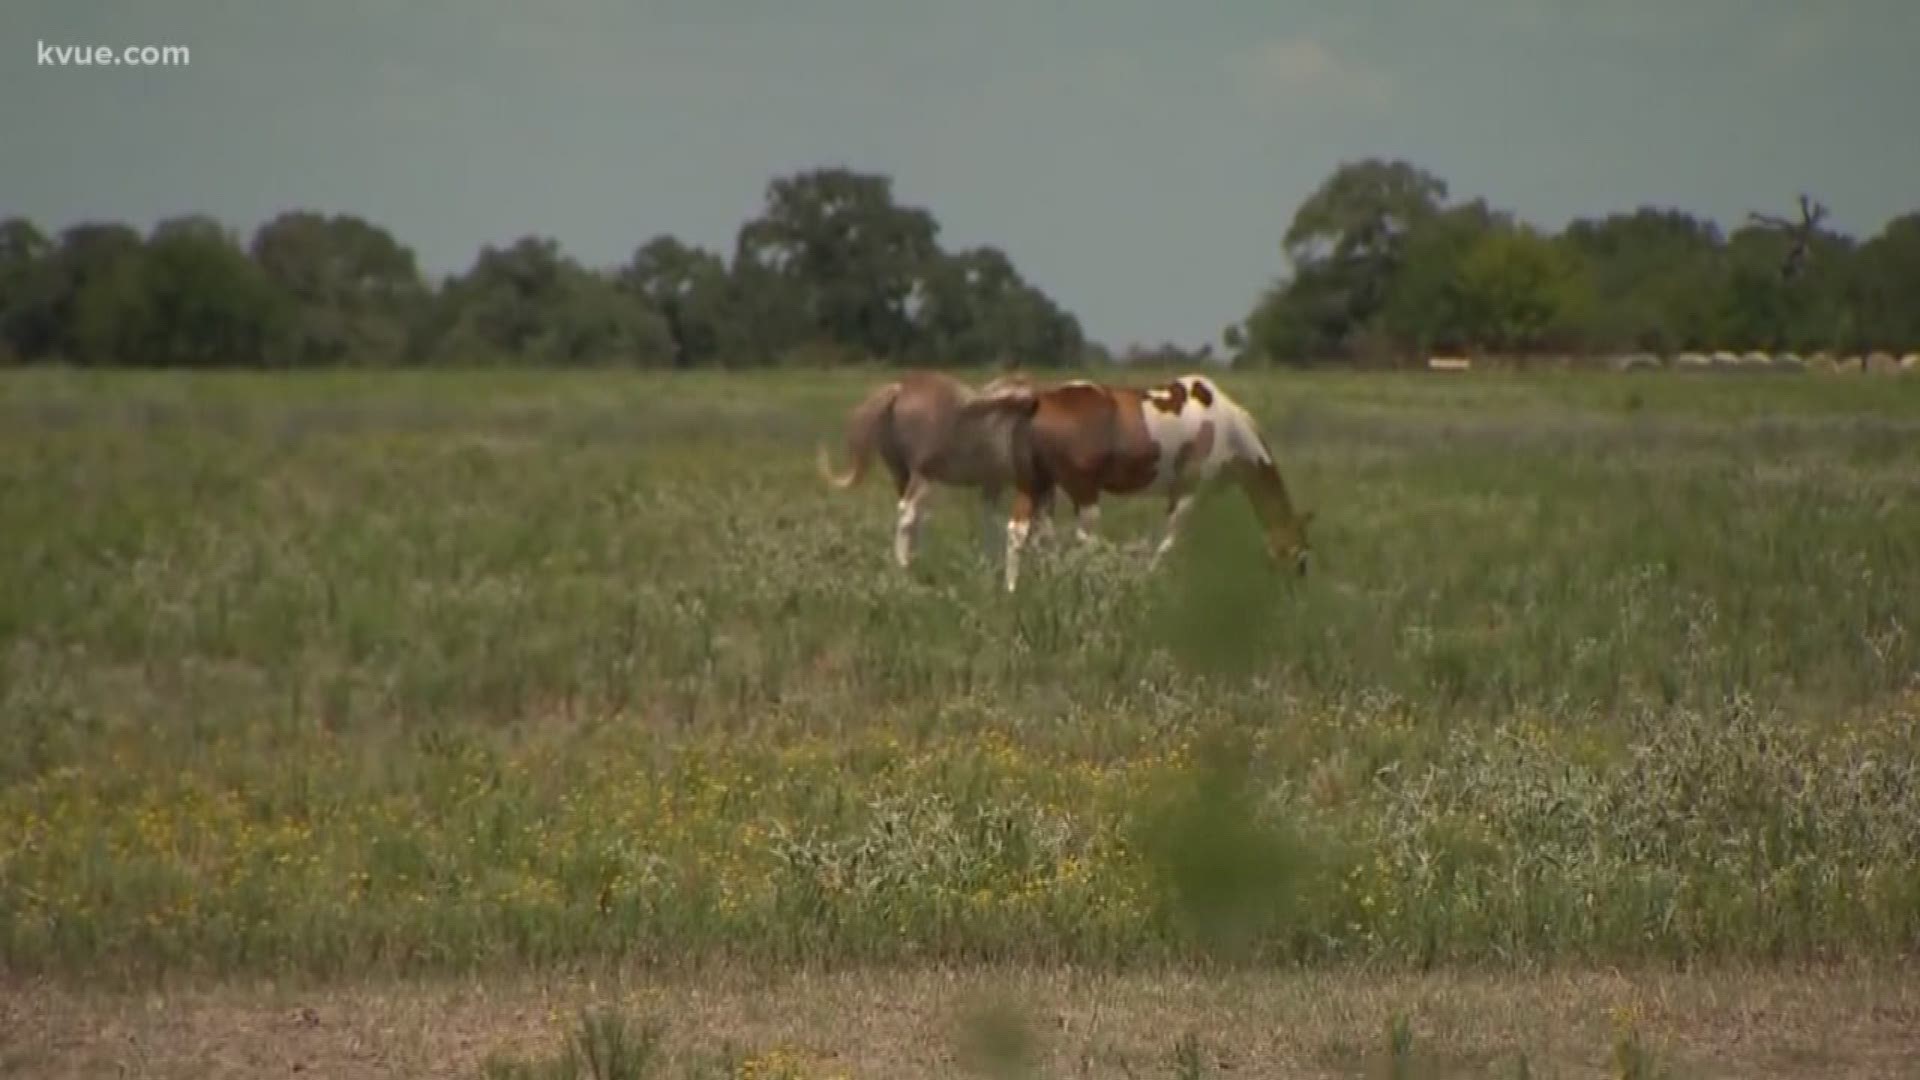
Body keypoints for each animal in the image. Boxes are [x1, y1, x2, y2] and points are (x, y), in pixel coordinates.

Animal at [817, 368, 1067, 568]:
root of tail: (900, 389)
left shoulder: (993, 484)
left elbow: (991, 519)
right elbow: (1042, 525)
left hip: (900, 472)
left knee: (911, 514)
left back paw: (912, 557)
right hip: (922, 474)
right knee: (908, 511)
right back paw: (905, 564)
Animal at [983, 368, 1313, 588]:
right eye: (1300, 559)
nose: (1294, 596)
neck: (1227, 425)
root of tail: (1038, 401)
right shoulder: (1188, 494)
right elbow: (1169, 544)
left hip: (1035, 486)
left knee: (1019, 533)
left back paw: (1013, 592)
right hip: (1083, 494)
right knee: (1079, 542)